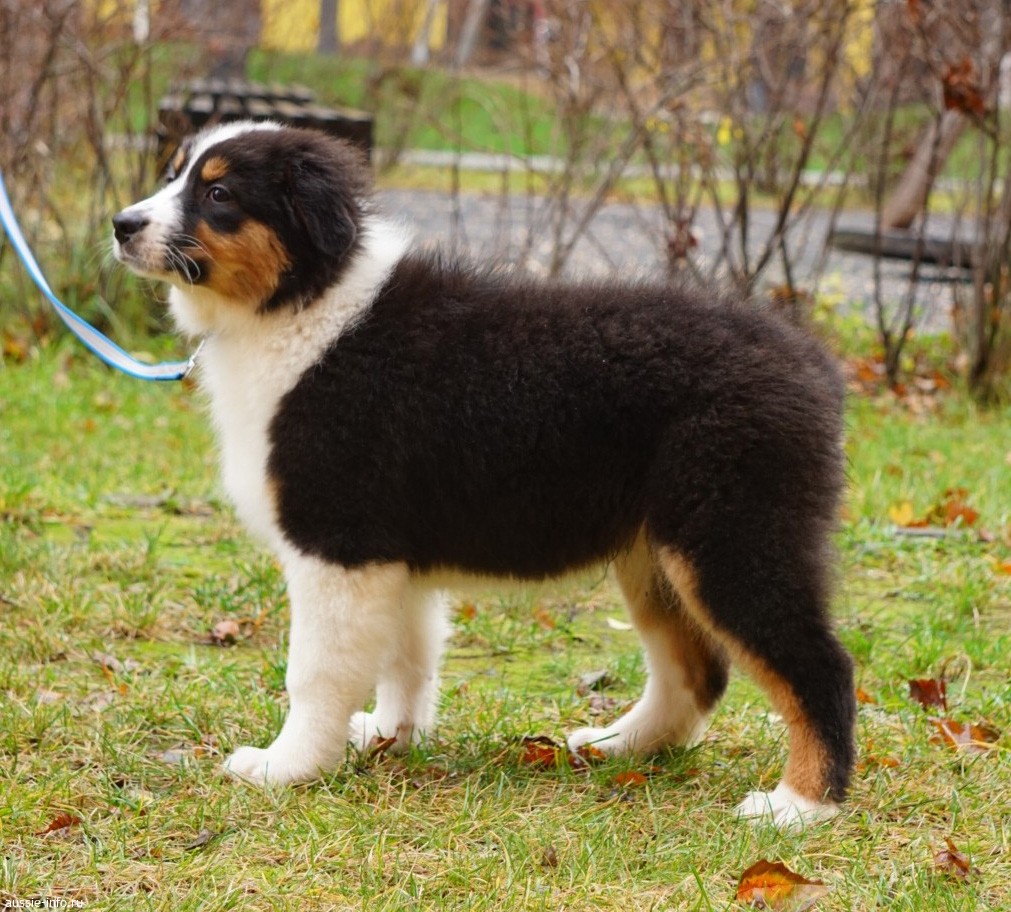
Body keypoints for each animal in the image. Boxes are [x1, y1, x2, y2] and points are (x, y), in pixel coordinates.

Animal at [112, 121, 855, 828]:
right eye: (173, 174)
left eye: (218, 193)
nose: (121, 224)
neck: (303, 304)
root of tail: (810, 362)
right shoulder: (391, 556)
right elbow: (407, 657)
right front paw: (391, 737)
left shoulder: (337, 542)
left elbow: (316, 672)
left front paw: (286, 767)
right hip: (656, 551)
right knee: (695, 671)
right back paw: (619, 746)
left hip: (730, 534)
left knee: (818, 664)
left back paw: (800, 806)